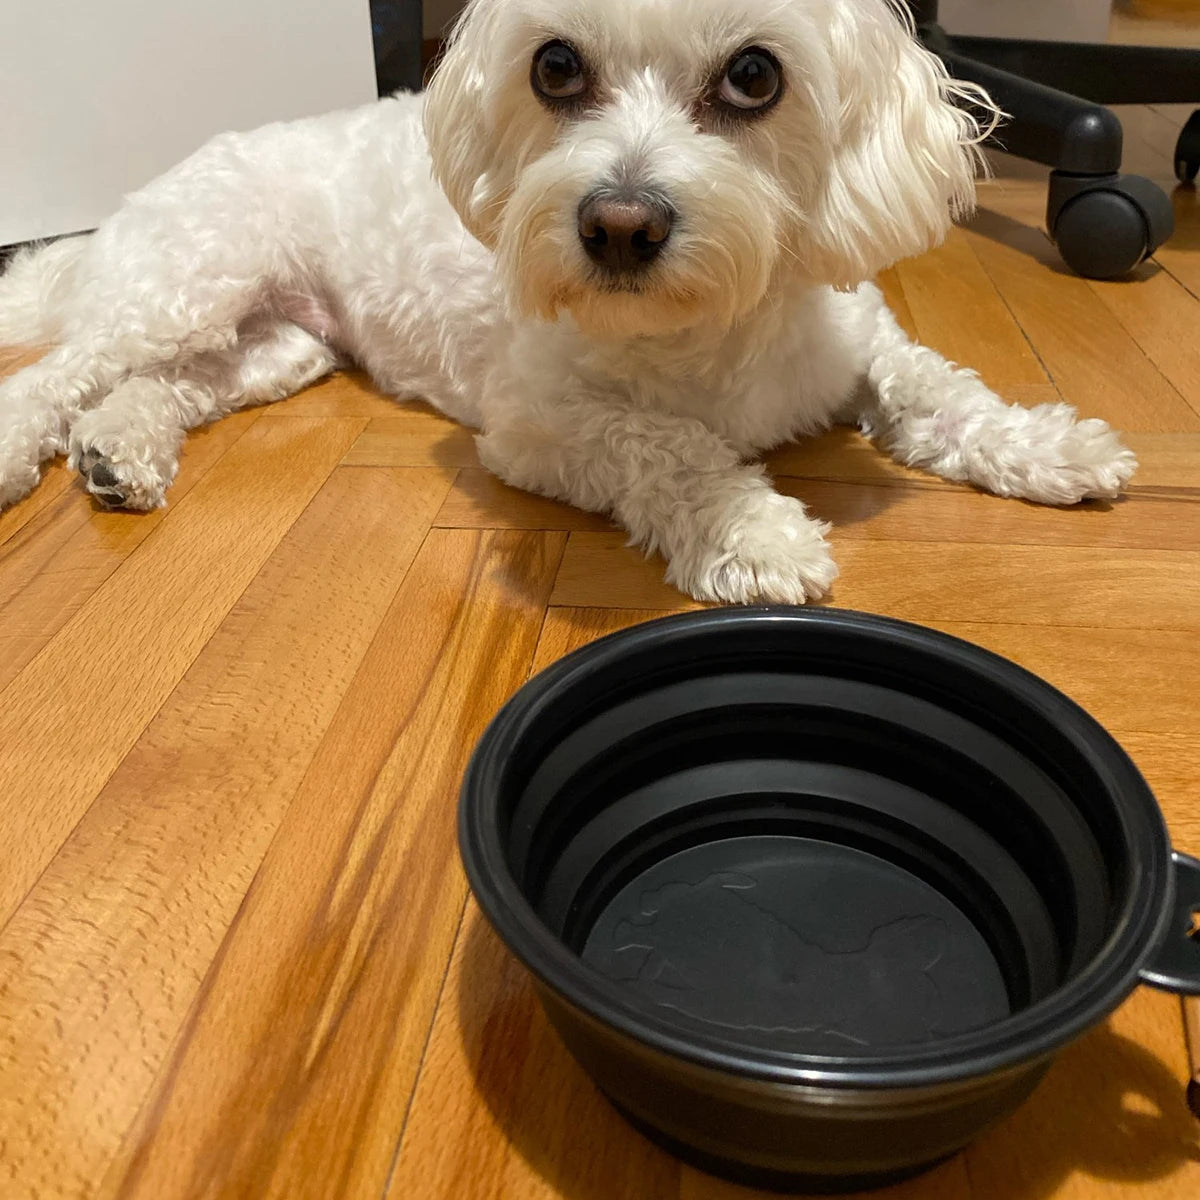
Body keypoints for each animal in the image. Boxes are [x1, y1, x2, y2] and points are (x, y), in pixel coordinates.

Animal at [0, 0, 1132, 600]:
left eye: (755, 76)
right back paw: (22, 450)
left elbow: (948, 392)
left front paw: (1053, 446)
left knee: (157, 387)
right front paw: (752, 532)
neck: (711, 323)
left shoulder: (865, 348)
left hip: (277, 345)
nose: (618, 224)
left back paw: (118, 453)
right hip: (195, 277)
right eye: (555, 66)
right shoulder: (538, 426)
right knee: (61, 373)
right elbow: (664, 446)